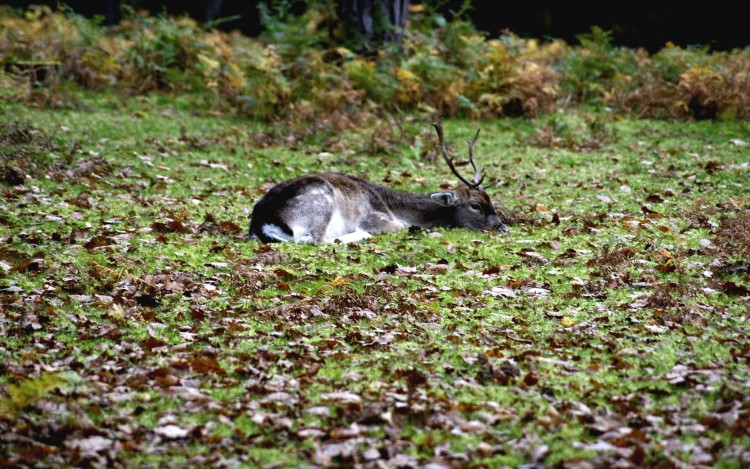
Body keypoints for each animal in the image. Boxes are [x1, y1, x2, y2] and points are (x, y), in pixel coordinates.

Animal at [250, 120, 508, 243]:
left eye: (491, 200)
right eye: (475, 205)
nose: (502, 227)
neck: (397, 208)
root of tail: (262, 223)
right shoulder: (374, 216)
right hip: (319, 198)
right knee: (314, 239)